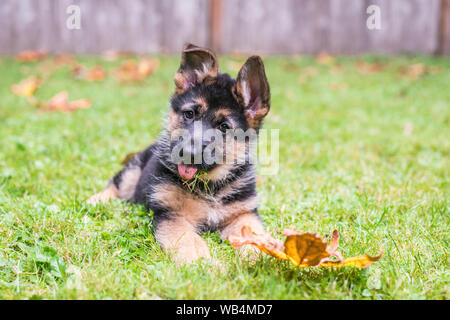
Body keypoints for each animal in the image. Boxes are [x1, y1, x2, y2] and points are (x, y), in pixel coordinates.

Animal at [88, 43, 270, 262]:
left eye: (224, 127)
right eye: (189, 114)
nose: (188, 152)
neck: (210, 186)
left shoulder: (243, 214)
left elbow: (255, 236)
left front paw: (260, 257)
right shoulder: (173, 215)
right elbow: (190, 242)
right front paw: (205, 264)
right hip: (133, 171)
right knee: (116, 185)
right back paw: (95, 201)